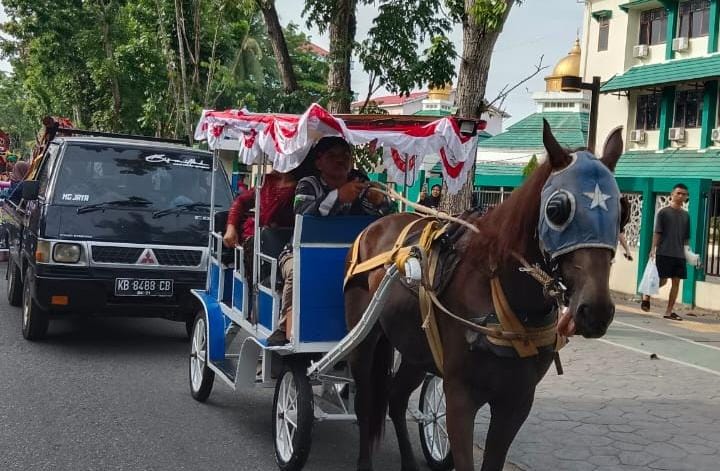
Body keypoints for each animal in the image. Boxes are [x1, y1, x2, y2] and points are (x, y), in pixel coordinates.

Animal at [344, 122, 624, 471]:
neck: (501, 293)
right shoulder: (460, 396)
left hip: (415, 351)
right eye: (557, 210)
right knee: (365, 401)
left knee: (395, 398)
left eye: (622, 212)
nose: (595, 310)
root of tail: (376, 226)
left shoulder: (517, 401)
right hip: (364, 340)